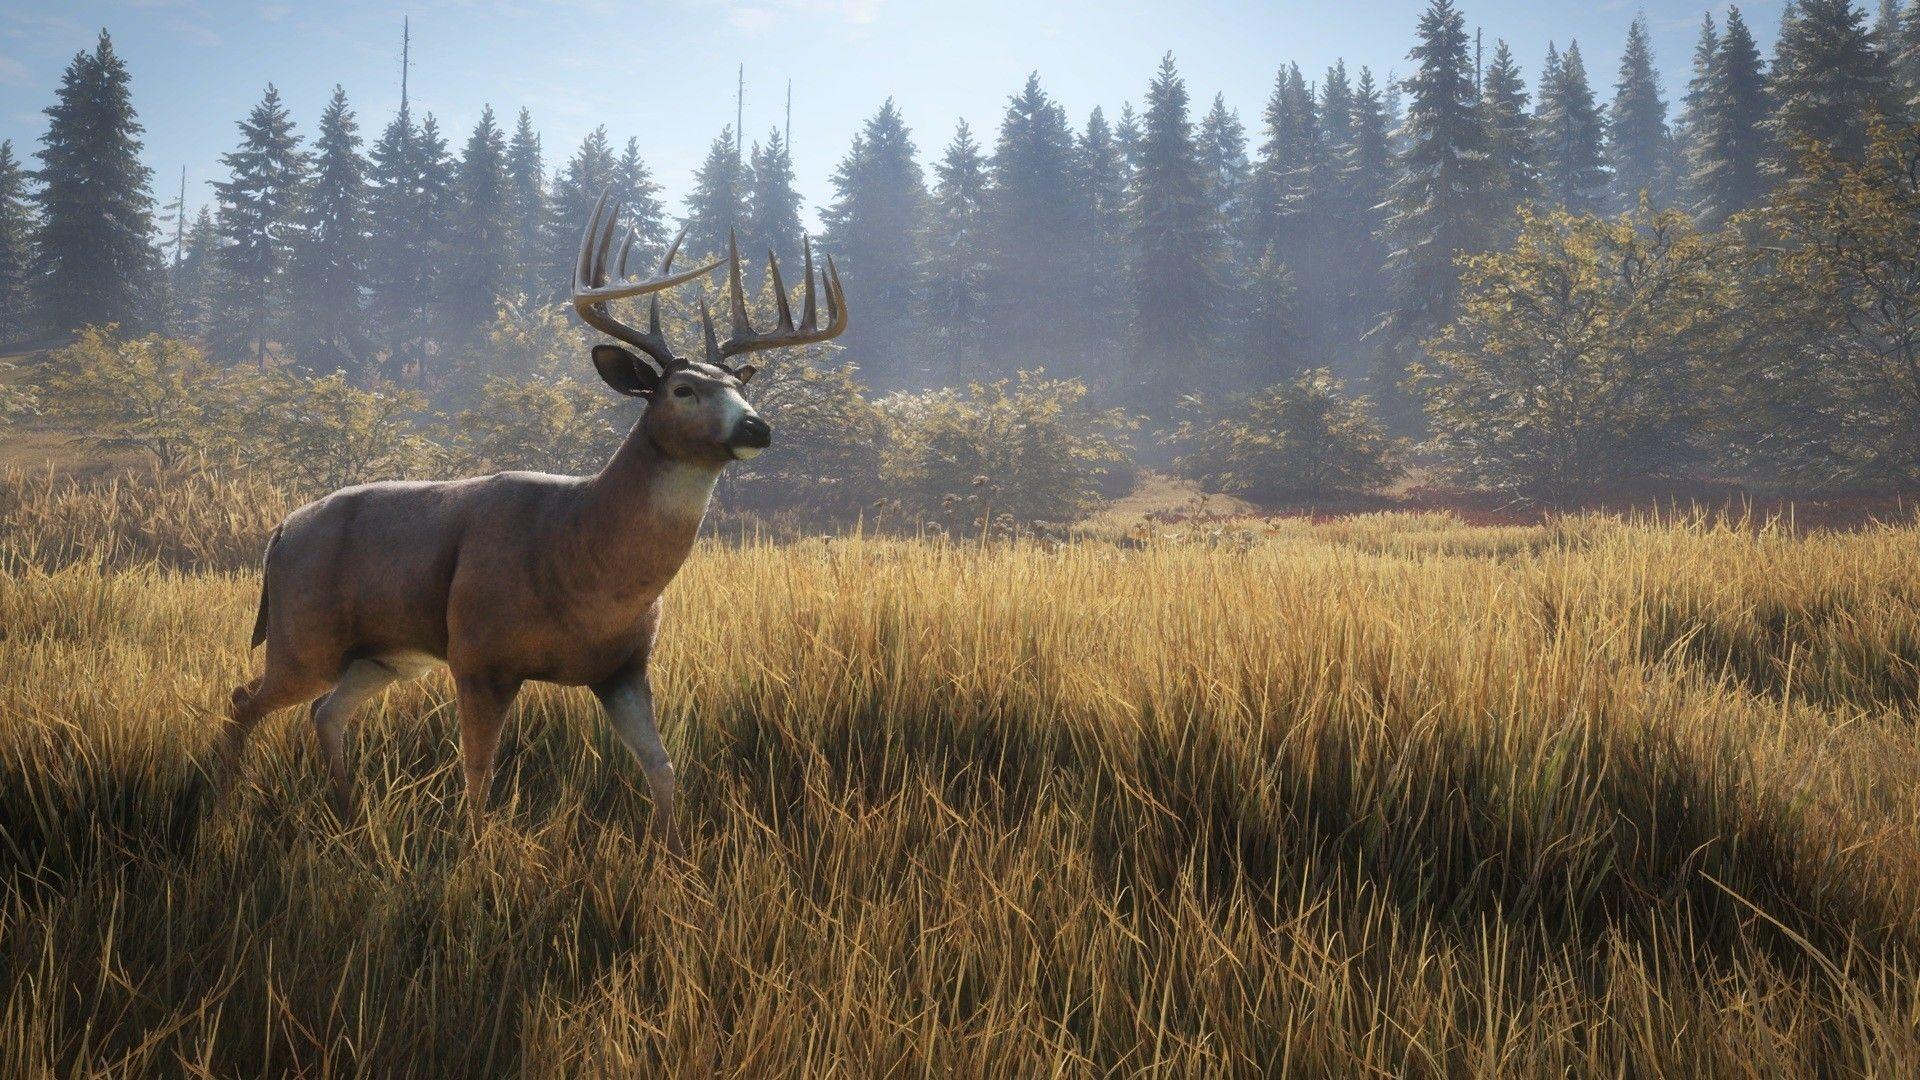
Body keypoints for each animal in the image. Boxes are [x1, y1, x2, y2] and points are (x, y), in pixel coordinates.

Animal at [220, 190, 846, 854]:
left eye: (737, 386)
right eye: (682, 388)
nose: (757, 426)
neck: (584, 559)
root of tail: (280, 533)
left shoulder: (625, 666)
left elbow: (662, 767)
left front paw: (671, 855)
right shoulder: (479, 655)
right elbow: (479, 770)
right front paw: (474, 856)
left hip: (385, 655)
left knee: (325, 712)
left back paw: (347, 815)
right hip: (302, 636)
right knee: (244, 700)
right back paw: (225, 808)